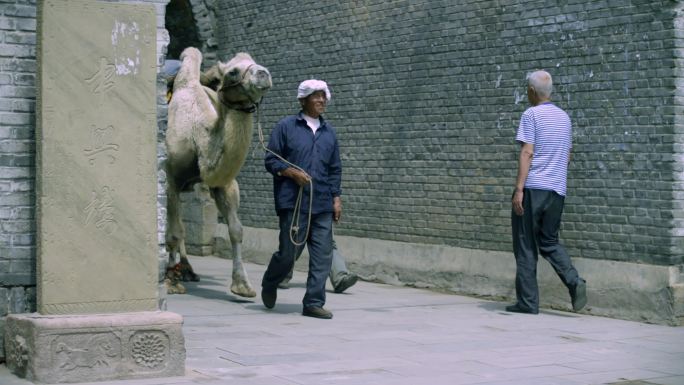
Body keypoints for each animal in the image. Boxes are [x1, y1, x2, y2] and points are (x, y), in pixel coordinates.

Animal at [164, 46, 272, 296]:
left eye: (254, 61)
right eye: (233, 72)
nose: (263, 73)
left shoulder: (223, 183)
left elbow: (236, 229)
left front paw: (242, 286)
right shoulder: (171, 178)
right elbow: (174, 231)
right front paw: (171, 283)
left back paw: (188, 269)